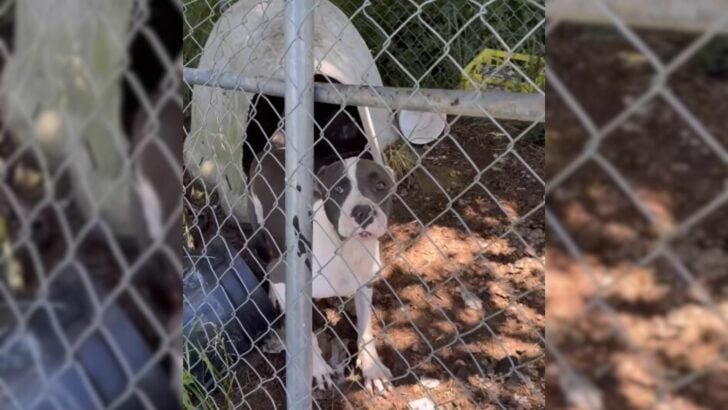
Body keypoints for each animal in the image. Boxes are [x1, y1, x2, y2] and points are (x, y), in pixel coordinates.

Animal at [249, 141, 398, 394]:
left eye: (380, 185)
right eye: (337, 190)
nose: (362, 212)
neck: (345, 249)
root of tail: (271, 148)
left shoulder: (365, 284)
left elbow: (365, 329)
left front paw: (372, 368)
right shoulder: (288, 281)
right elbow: (307, 334)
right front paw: (318, 369)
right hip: (261, 233)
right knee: (268, 262)